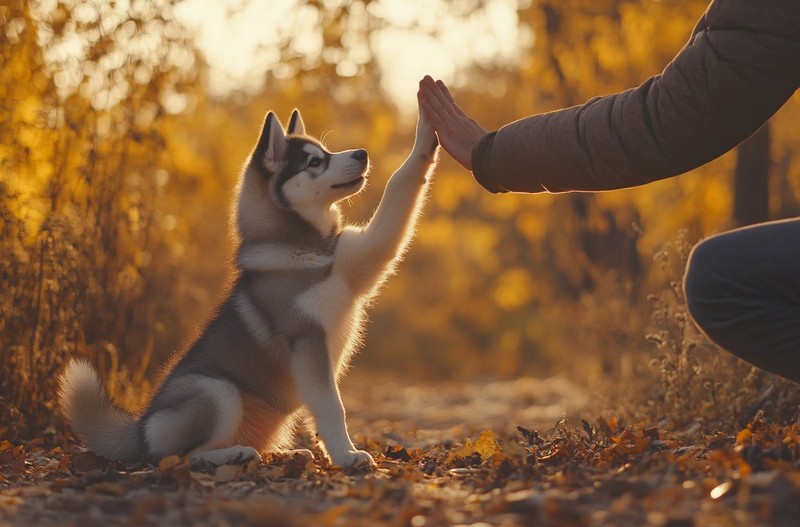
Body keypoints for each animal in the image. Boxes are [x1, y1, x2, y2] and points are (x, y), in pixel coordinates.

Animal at [61, 103, 438, 466]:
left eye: (326, 151)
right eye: (314, 162)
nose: (361, 154)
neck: (302, 247)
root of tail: (139, 428)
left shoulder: (367, 254)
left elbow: (400, 185)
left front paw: (429, 126)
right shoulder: (306, 339)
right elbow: (333, 407)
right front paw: (346, 455)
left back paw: (284, 454)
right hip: (216, 391)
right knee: (175, 457)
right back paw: (229, 455)